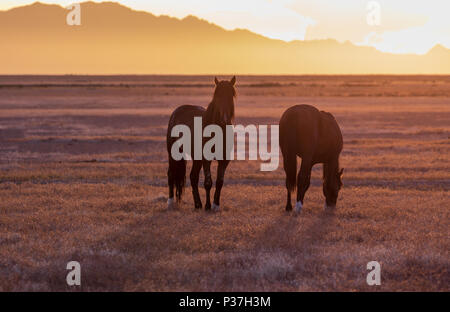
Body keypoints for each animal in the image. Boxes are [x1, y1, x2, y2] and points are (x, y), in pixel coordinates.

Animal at [165, 76, 236, 211]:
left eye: (232, 95)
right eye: (217, 95)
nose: (224, 119)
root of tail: (177, 111)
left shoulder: (224, 160)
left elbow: (219, 182)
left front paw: (216, 205)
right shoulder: (206, 159)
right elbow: (208, 182)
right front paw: (208, 206)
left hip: (196, 158)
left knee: (193, 177)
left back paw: (197, 204)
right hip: (173, 153)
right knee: (171, 174)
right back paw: (170, 201)